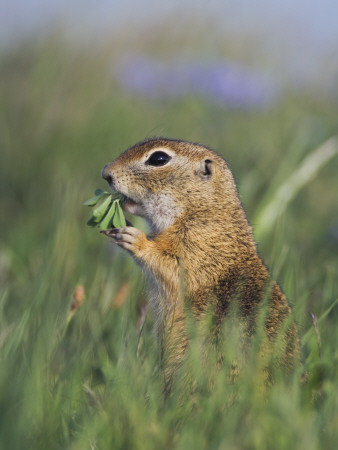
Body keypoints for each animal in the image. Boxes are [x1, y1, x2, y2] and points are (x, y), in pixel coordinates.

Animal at [101, 138, 302, 390]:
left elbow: (170, 264)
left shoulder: (197, 245)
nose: (106, 173)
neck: (202, 208)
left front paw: (133, 238)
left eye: (158, 159)